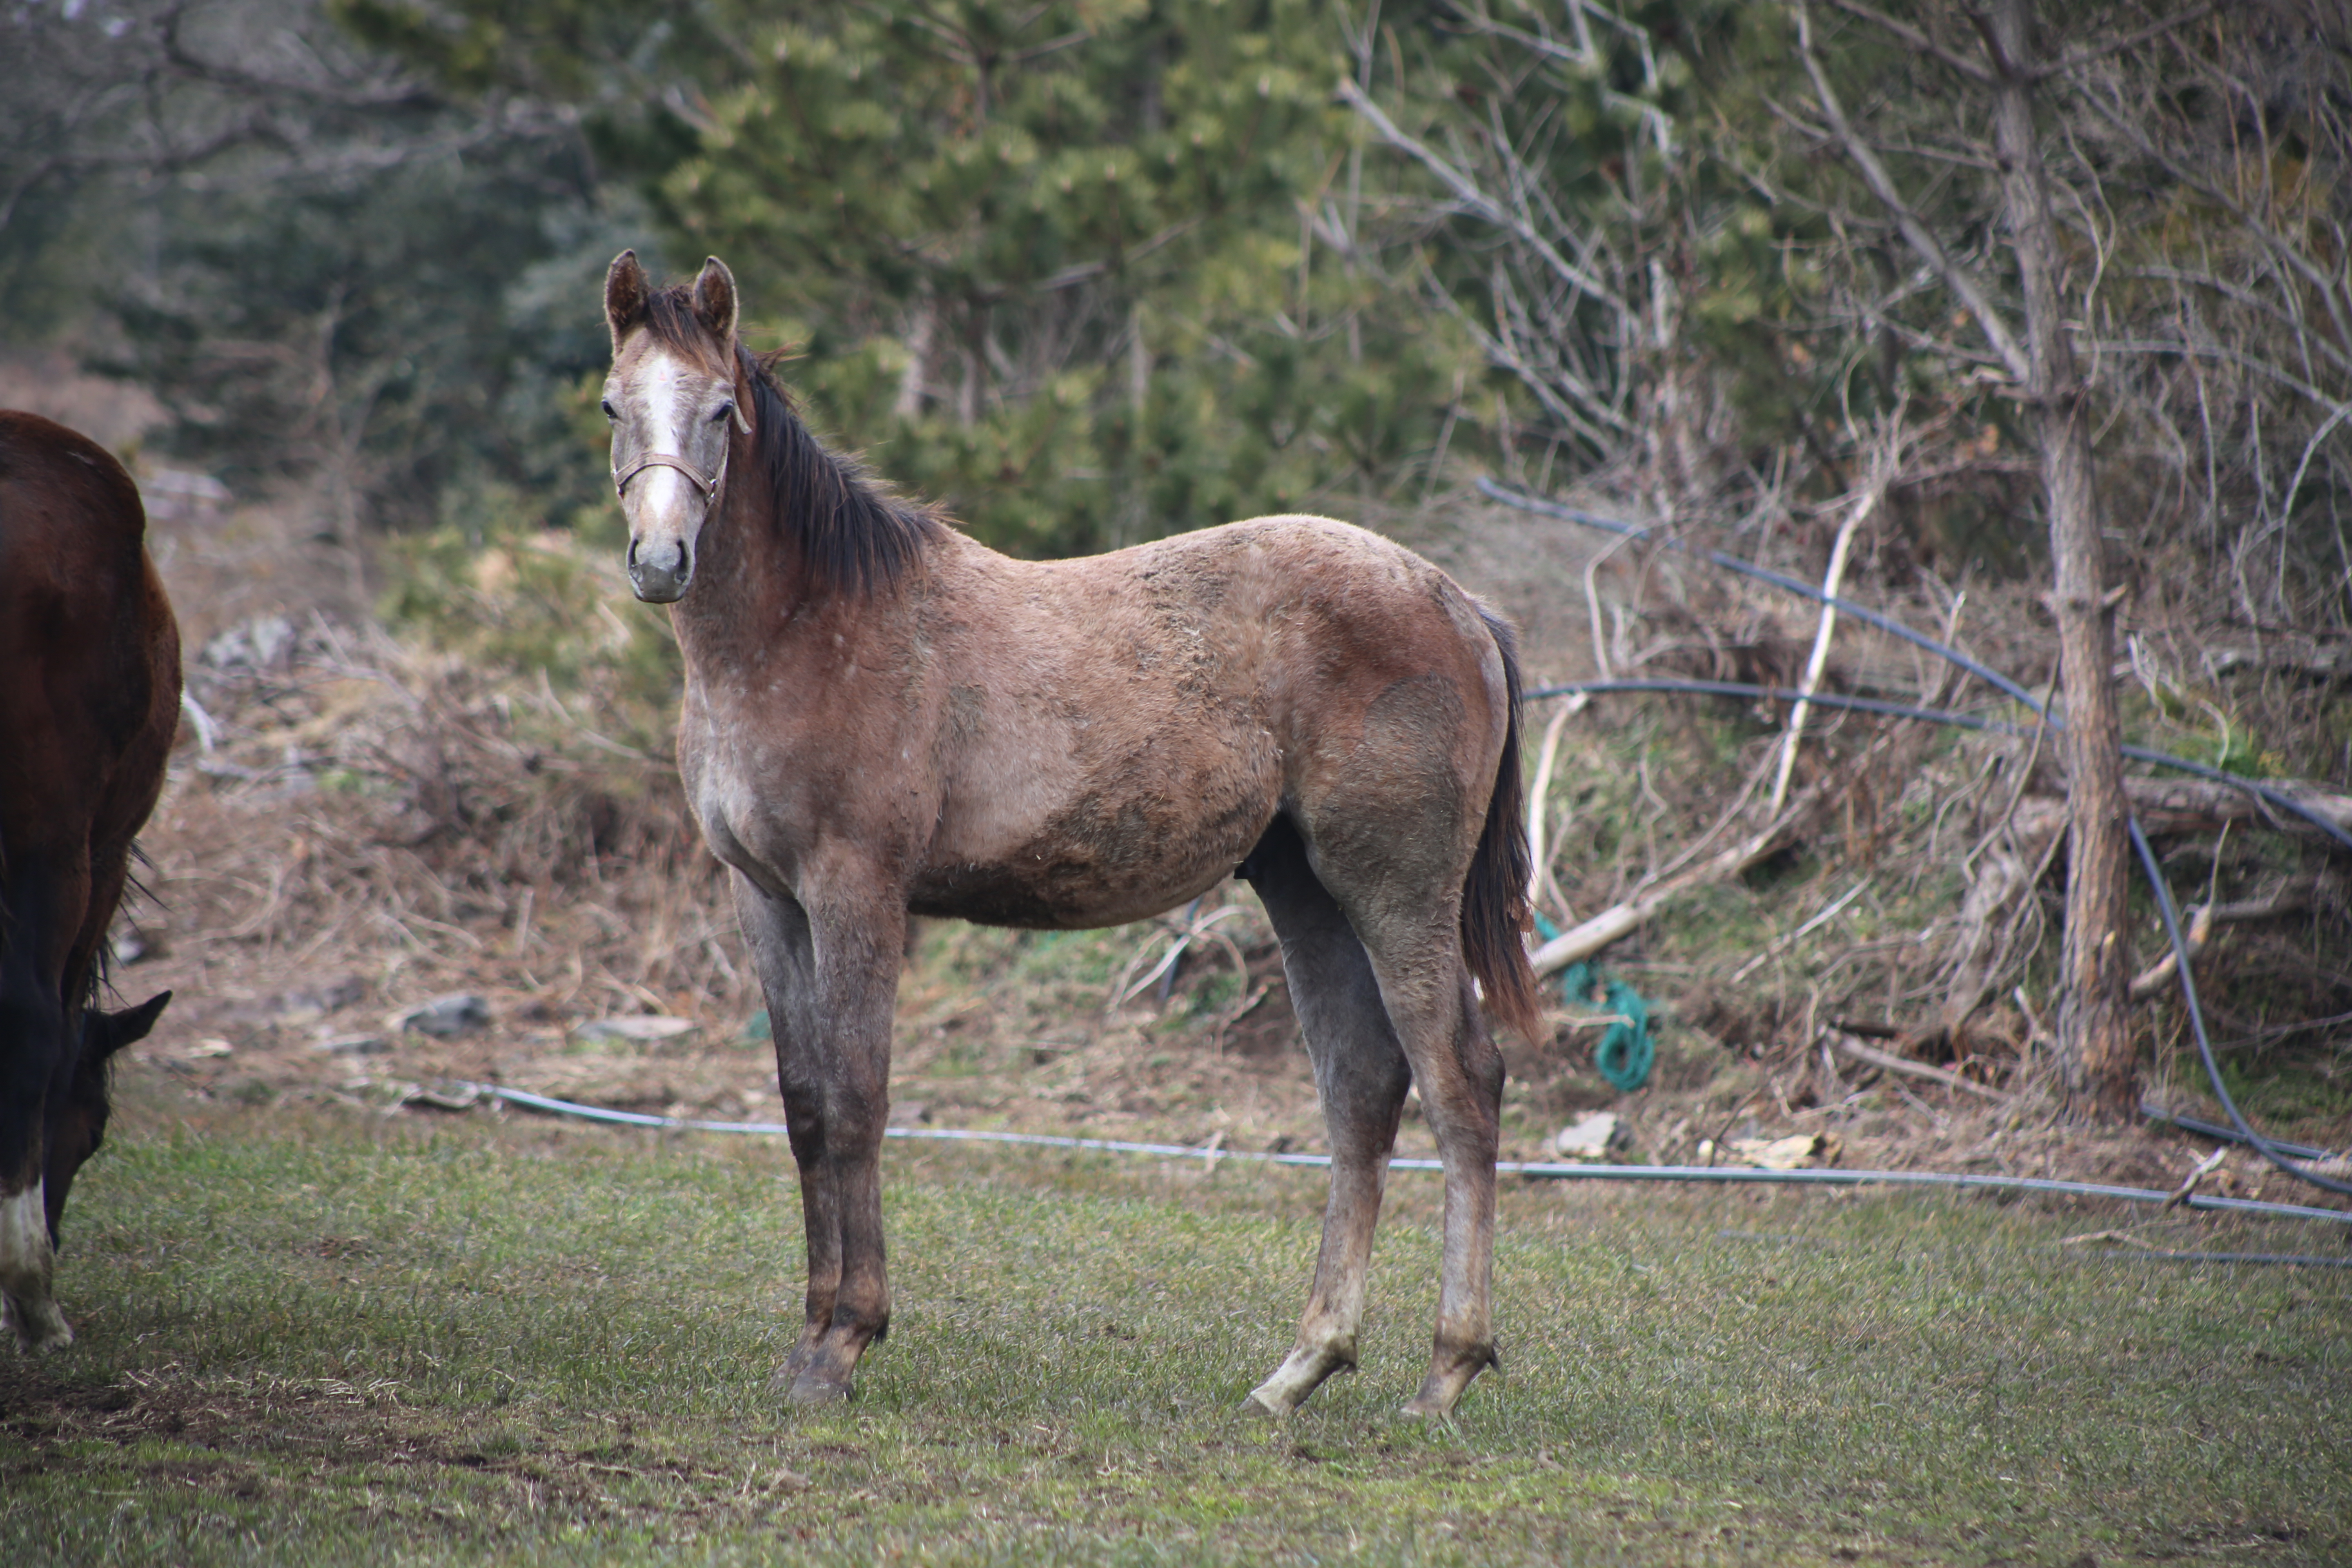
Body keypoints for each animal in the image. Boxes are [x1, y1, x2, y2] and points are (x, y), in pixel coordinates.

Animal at [602, 257, 1543, 1420]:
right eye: (614, 407)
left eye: (722, 411)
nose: (660, 560)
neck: (807, 627)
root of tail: (1459, 605)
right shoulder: (766, 900)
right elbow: (806, 1106)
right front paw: (808, 1339)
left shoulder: (854, 889)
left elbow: (860, 1100)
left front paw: (845, 1344)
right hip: (1306, 891)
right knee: (1363, 1090)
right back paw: (1301, 1366)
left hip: (1397, 895)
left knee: (1461, 1085)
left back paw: (1444, 1373)